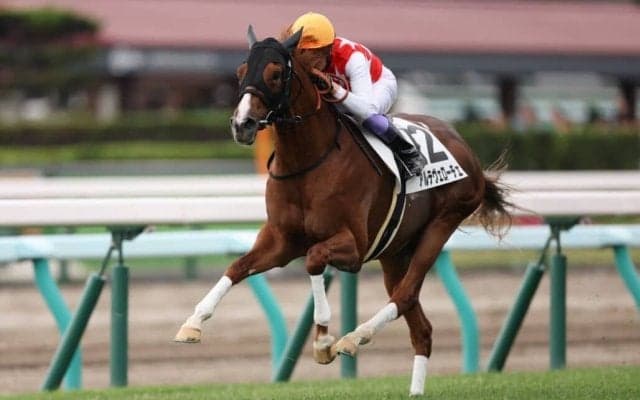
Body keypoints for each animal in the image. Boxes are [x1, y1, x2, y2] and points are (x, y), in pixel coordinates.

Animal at [175, 27, 512, 396]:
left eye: (275, 73)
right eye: (240, 72)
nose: (242, 124)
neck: (308, 162)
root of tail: (466, 150)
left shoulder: (353, 247)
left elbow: (313, 260)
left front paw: (323, 340)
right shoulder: (281, 241)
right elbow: (237, 267)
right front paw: (193, 323)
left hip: (442, 223)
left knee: (406, 294)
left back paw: (354, 337)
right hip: (394, 251)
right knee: (420, 326)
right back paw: (412, 388)